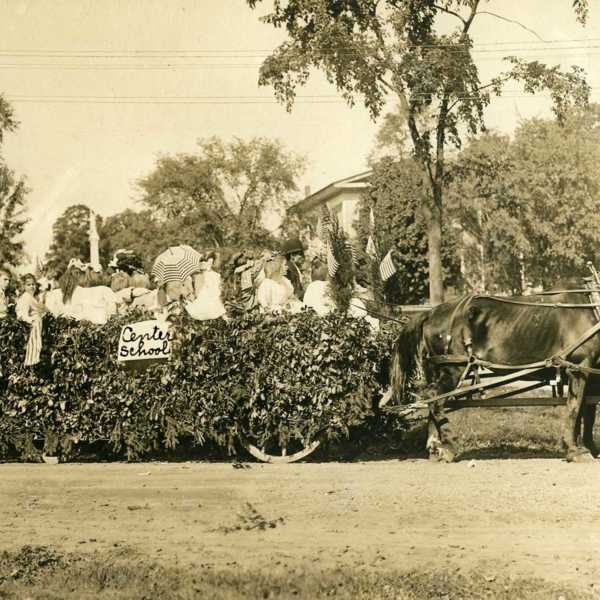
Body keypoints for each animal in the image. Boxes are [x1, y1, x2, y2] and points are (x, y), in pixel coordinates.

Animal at [394, 288, 600, 462]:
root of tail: (431, 313)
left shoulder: (591, 376)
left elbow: (587, 411)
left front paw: (589, 447)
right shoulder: (578, 368)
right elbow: (574, 409)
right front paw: (575, 450)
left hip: (437, 369)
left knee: (433, 400)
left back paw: (435, 447)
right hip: (453, 368)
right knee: (435, 397)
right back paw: (448, 446)